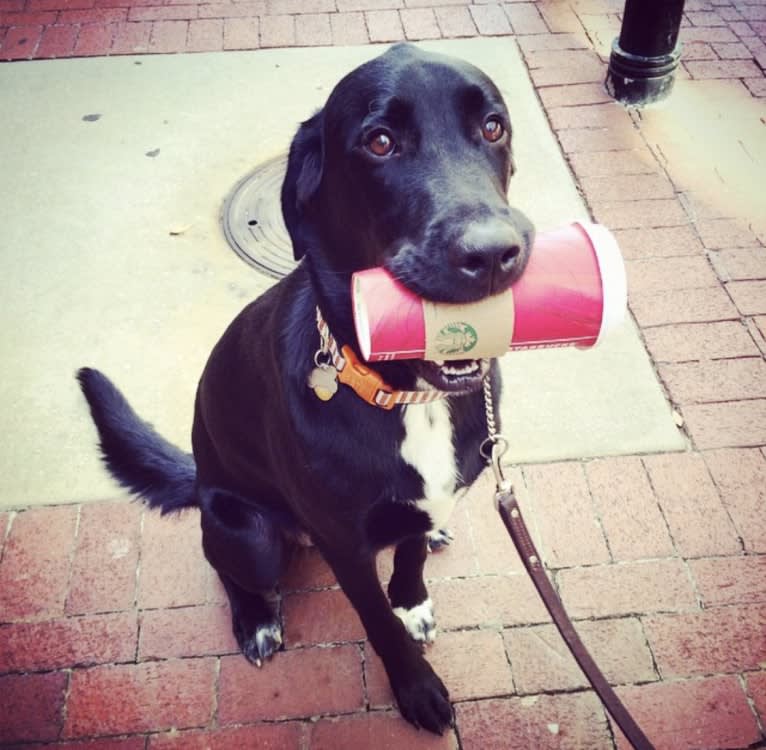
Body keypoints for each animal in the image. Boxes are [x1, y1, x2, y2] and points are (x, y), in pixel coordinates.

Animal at [78, 44, 536, 736]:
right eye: (379, 142)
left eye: (492, 127)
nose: (493, 255)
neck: (404, 399)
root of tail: (201, 481)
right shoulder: (344, 545)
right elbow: (378, 623)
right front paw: (417, 688)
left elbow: (408, 560)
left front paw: (413, 599)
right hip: (249, 533)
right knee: (229, 571)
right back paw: (256, 620)